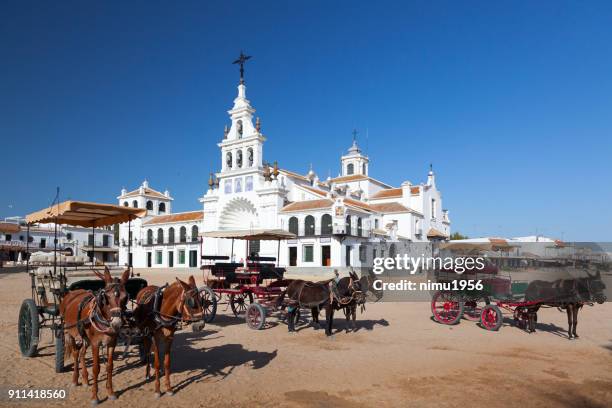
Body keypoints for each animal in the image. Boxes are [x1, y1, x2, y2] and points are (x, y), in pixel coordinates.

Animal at [60, 266, 130, 404]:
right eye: (106, 297)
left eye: (125, 297)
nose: (117, 323)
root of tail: (71, 293)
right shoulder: (95, 344)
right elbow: (96, 368)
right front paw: (94, 397)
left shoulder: (111, 343)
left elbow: (109, 366)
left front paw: (111, 393)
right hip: (70, 333)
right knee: (76, 353)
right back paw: (75, 380)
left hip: (85, 338)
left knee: (82, 353)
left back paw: (85, 380)